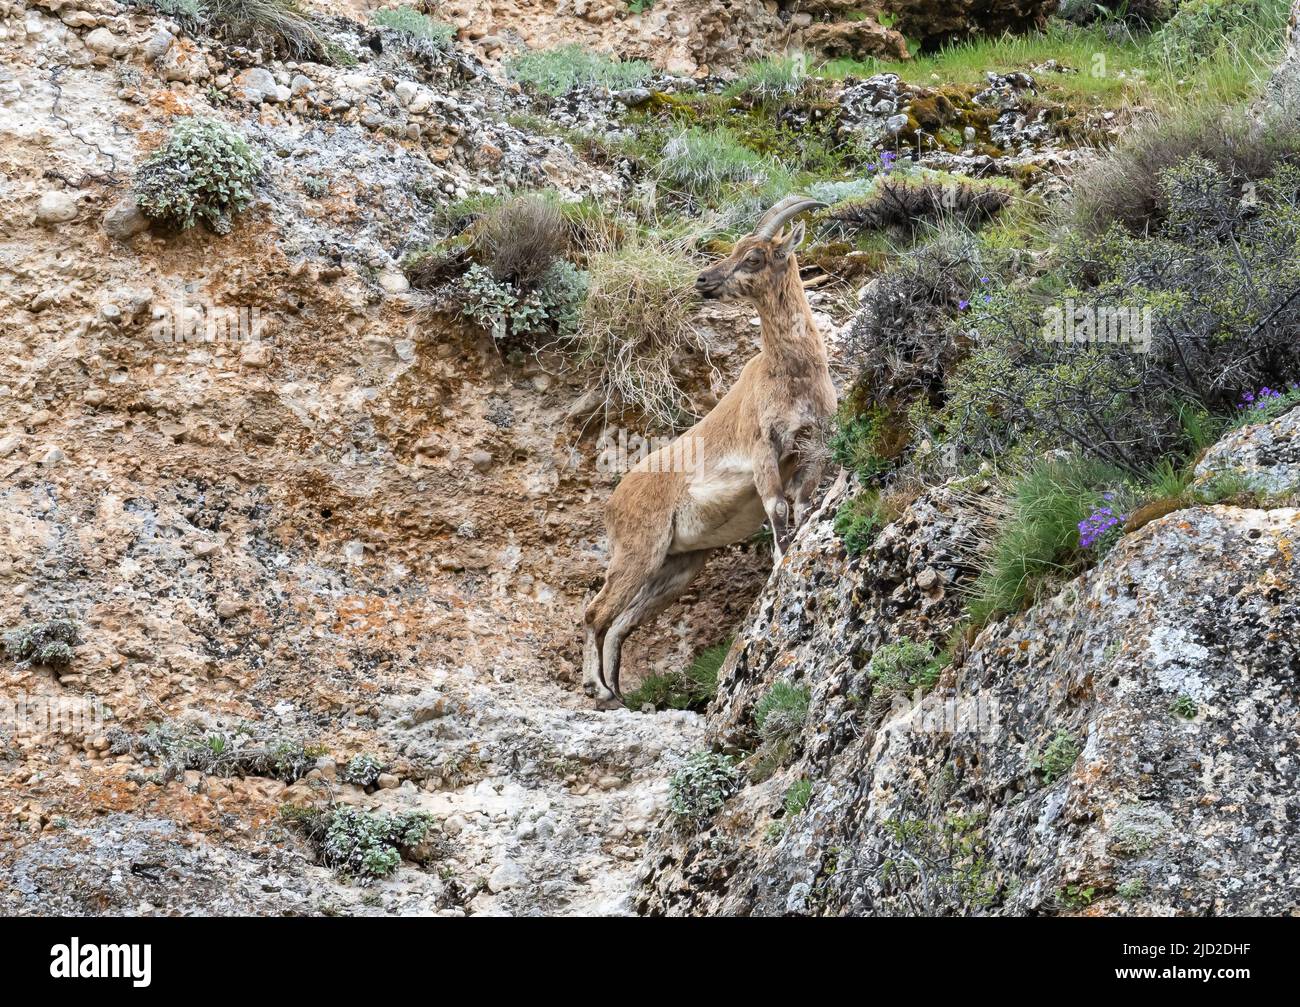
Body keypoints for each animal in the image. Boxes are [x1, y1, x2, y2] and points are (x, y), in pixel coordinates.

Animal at [582, 195, 836, 708]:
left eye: (754, 257)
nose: (703, 280)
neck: (790, 371)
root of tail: (614, 503)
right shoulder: (763, 448)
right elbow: (777, 508)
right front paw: (779, 569)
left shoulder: (812, 446)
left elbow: (801, 506)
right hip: (639, 550)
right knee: (595, 613)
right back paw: (598, 691)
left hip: (676, 567)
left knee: (619, 624)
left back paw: (619, 694)